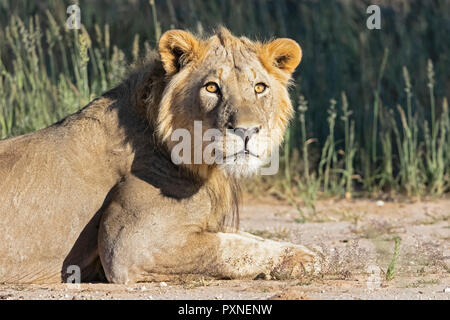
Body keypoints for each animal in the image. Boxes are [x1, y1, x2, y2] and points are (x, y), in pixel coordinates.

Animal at [0, 26, 316, 282]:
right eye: (212, 87)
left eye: (260, 87)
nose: (247, 130)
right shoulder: (128, 244)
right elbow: (229, 248)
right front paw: (300, 260)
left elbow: (242, 235)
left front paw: (304, 251)